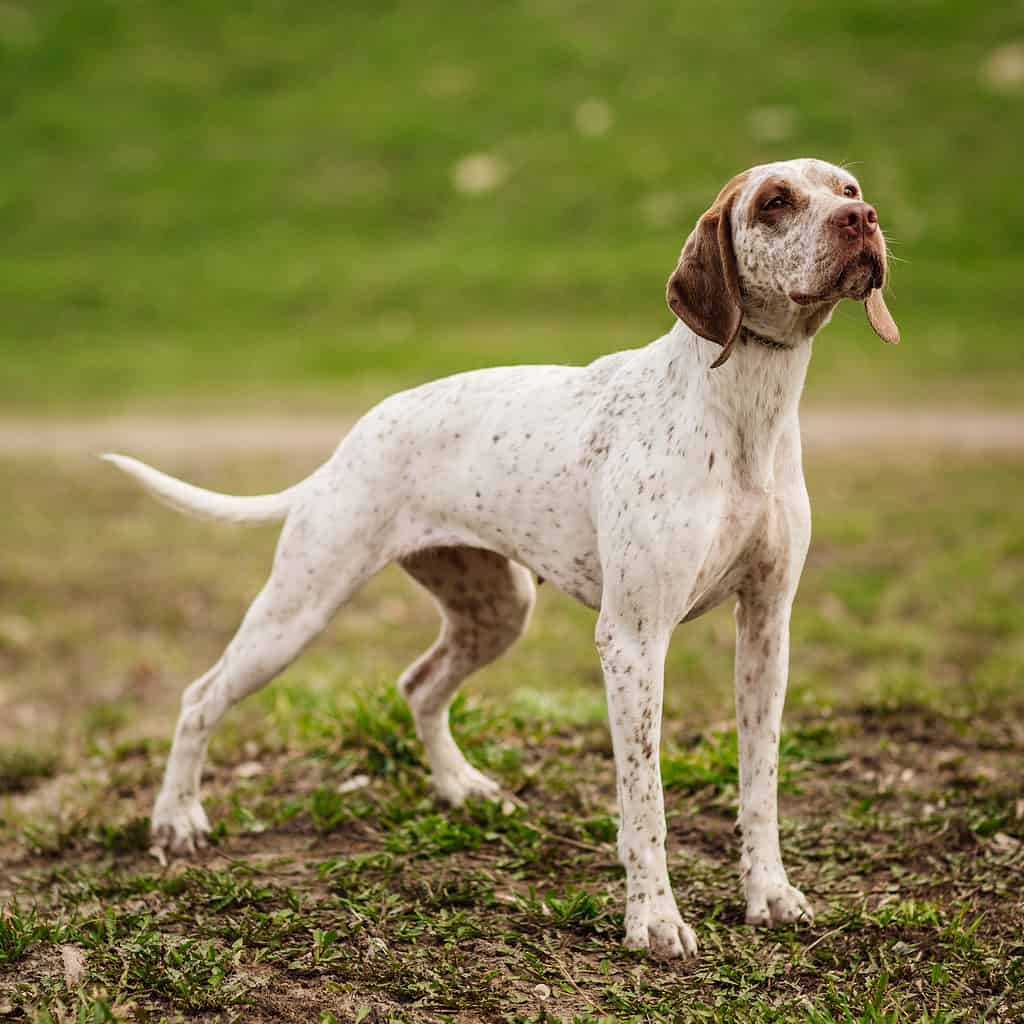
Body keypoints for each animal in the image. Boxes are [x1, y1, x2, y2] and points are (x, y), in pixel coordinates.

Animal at [103, 159, 897, 958]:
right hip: (296, 611)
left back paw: (459, 786)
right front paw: (653, 918)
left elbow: (760, 783)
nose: (862, 221)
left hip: (496, 609)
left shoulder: (766, 627)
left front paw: (768, 893)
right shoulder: (634, 641)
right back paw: (176, 820)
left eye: (850, 190)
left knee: (420, 685)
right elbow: (645, 803)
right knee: (200, 697)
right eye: (775, 202)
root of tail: (351, 441)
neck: (744, 410)